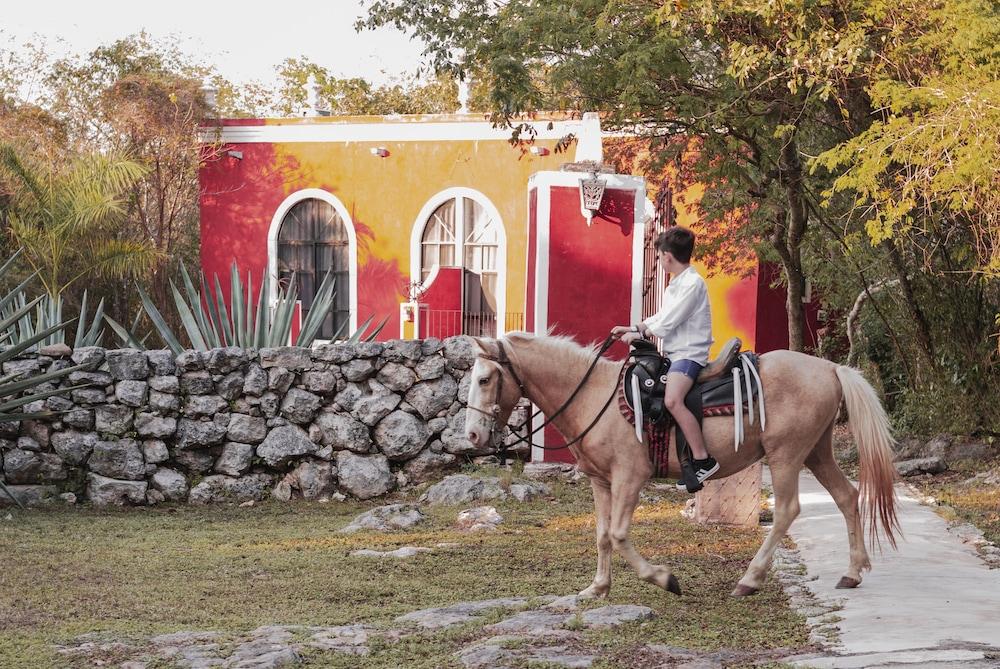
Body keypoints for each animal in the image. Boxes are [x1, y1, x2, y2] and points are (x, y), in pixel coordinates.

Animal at [464, 332, 904, 596]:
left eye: (485, 379)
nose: (471, 437)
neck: (594, 397)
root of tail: (830, 367)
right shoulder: (601, 482)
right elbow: (602, 535)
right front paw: (598, 588)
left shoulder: (630, 478)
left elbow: (619, 535)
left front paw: (664, 578)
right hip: (817, 451)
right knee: (847, 496)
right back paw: (853, 571)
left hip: (786, 455)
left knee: (787, 511)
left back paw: (750, 579)